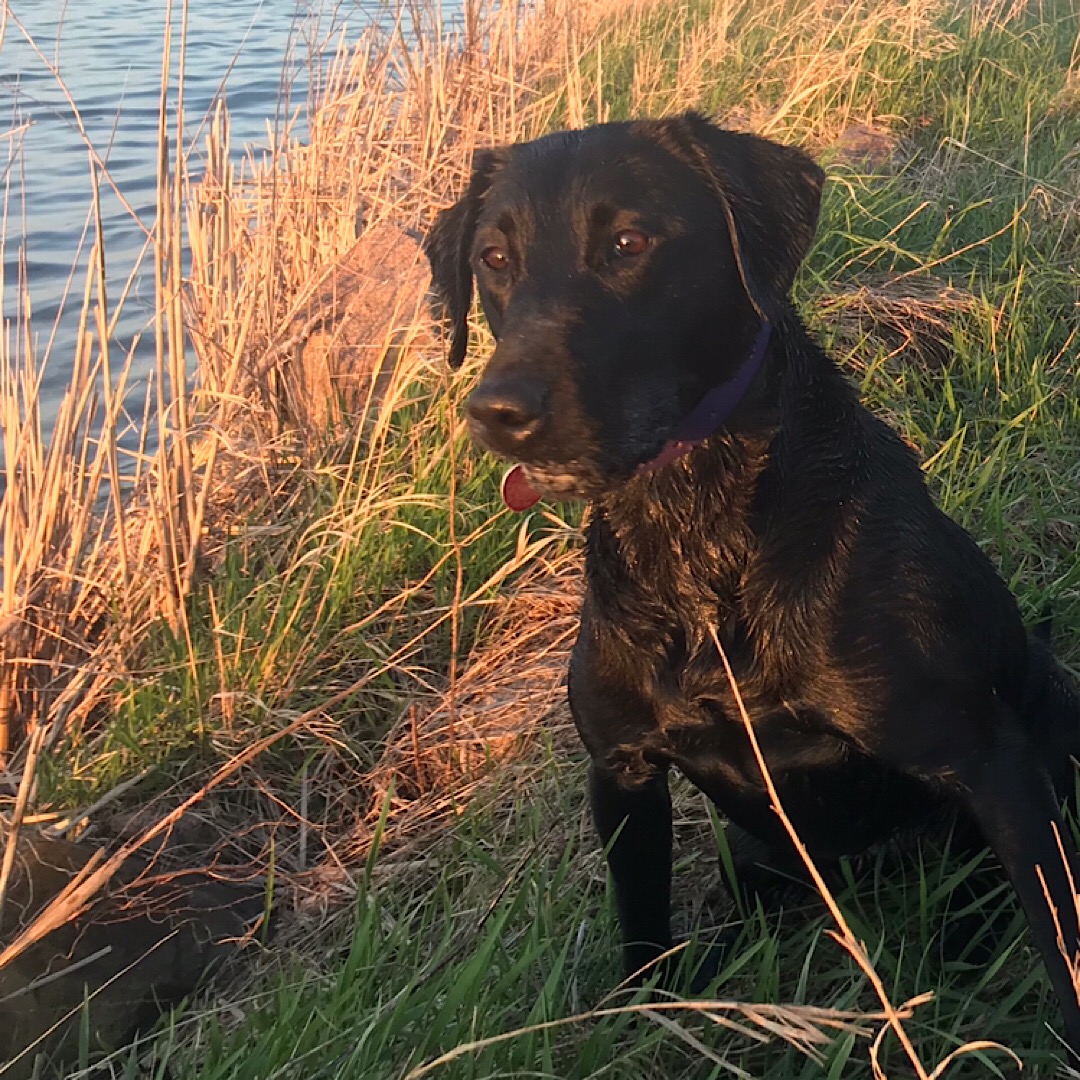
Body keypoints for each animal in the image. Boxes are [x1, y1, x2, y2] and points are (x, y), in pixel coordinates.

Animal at [425, 113, 1080, 1058]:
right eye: (494, 257)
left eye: (627, 243)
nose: (500, 411)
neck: (696, 551)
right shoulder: (622, 773)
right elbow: (642, 929)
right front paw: (651, 1020)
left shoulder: (992, 766)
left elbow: (1061, 943)